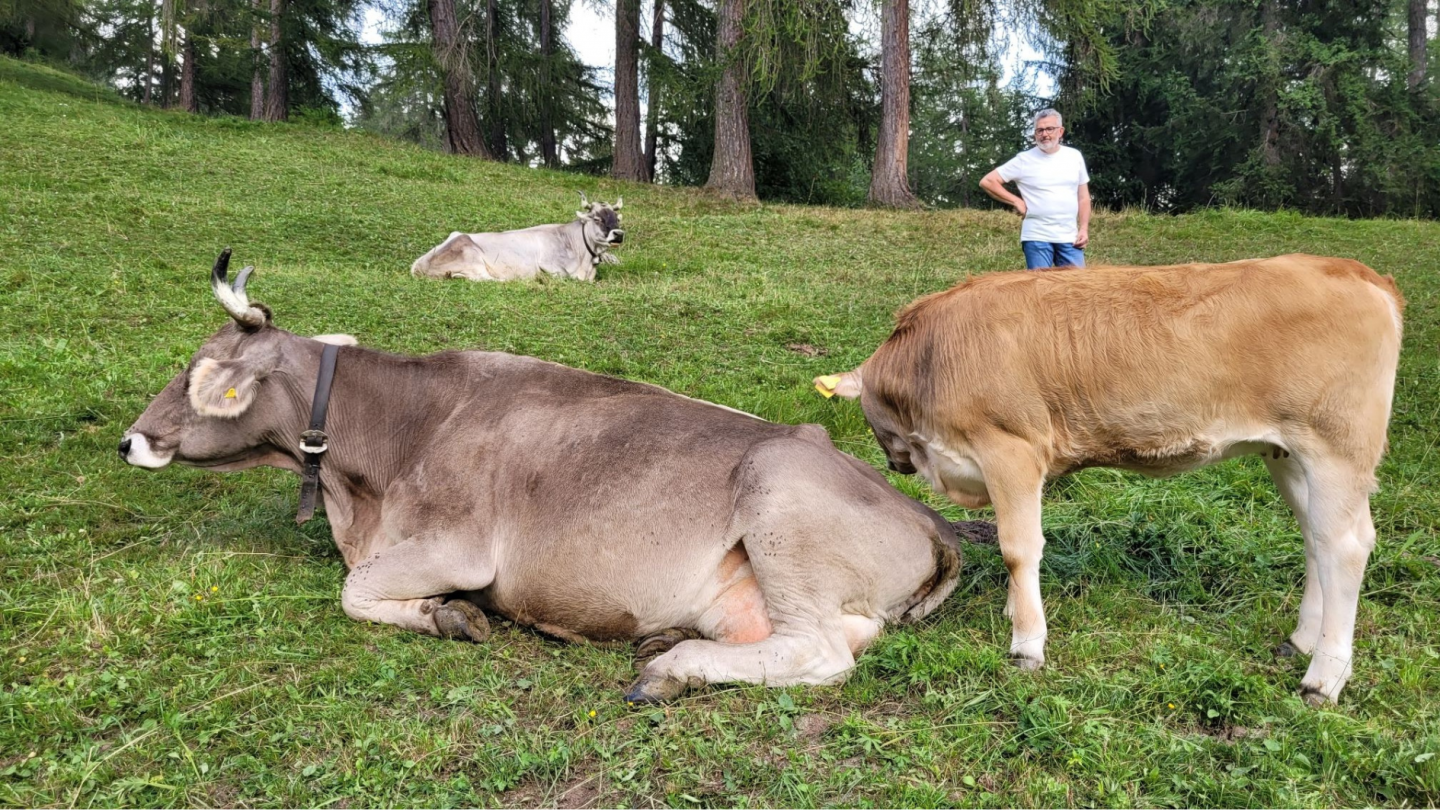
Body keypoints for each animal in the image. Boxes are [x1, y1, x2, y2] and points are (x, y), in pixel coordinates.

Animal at [120, 250, 956, 700]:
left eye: (196, 370)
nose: (129, 442)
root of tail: (931, 519)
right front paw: (443, 614)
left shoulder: (459, 547)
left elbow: (354, 592)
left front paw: (450, 614)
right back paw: (669, 644)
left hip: (779, 498)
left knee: (819, 652)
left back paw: (670, 667)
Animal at [411, 194, 624, 282]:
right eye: (597, 218)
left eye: (617, 219)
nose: (619, 235)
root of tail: (418, 265)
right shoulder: (550, 266)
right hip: (472, 256)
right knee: (486, 279)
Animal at [823, 253, 1405, 700]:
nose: (894, 463)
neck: (931, 355)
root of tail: (1355, 271)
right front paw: (1016, 609)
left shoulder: (1010, 449)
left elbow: (1018, 548)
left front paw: (1027, 644)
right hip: (1288, 454)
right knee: (1316, 538)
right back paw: (1303, 639)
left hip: (1337, 448)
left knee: (1345, 547)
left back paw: (1323, 678)